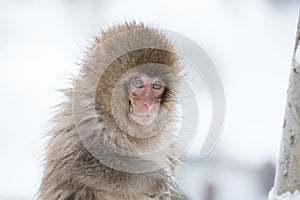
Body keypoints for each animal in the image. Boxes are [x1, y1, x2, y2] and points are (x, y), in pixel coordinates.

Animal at [37, 22, 183, 200]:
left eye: (157, 86)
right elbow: (79, 164)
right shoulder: (83, 119)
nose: (149, 104)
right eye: (138, 83)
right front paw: (151, 178)